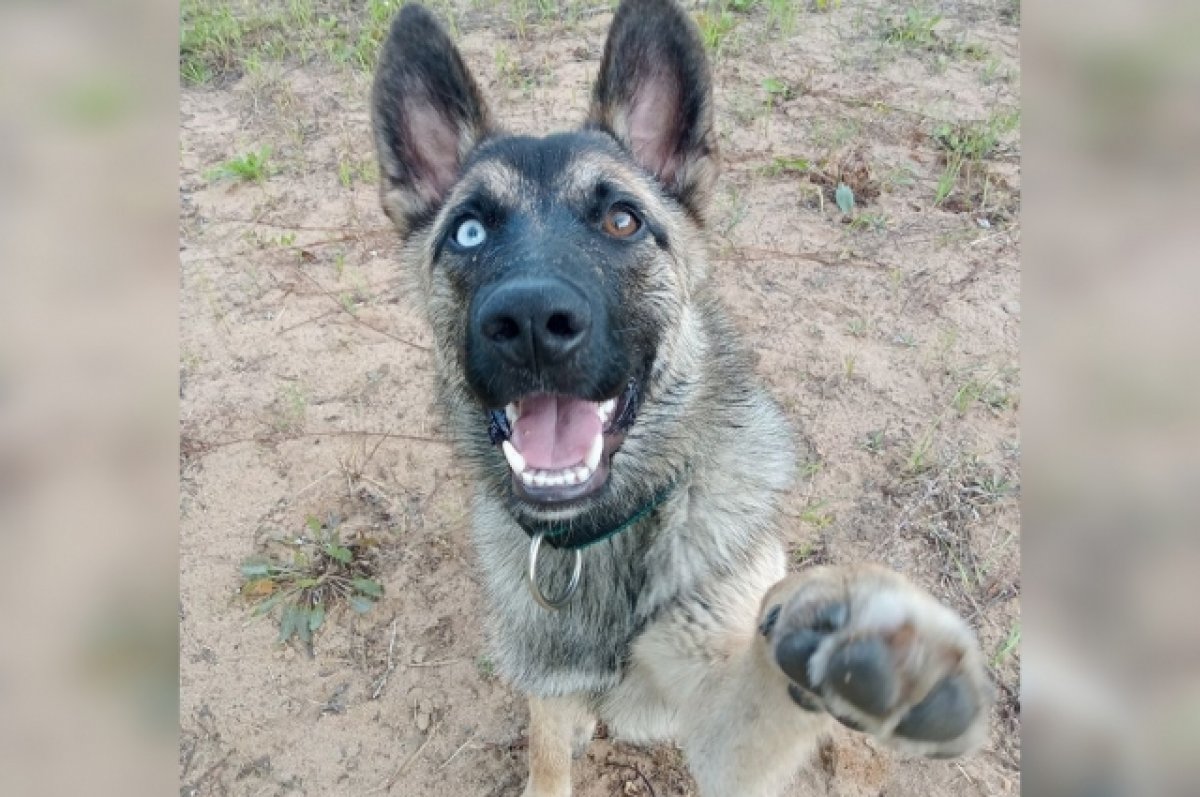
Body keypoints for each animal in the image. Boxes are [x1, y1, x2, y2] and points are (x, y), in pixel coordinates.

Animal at [369, 3, 998, 792]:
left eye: (621, 220)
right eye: (469, 231)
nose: (532, 323)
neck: (605, 536)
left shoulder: (725, 726)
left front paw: (872, 651)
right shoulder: (547, 688)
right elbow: (547, 757)